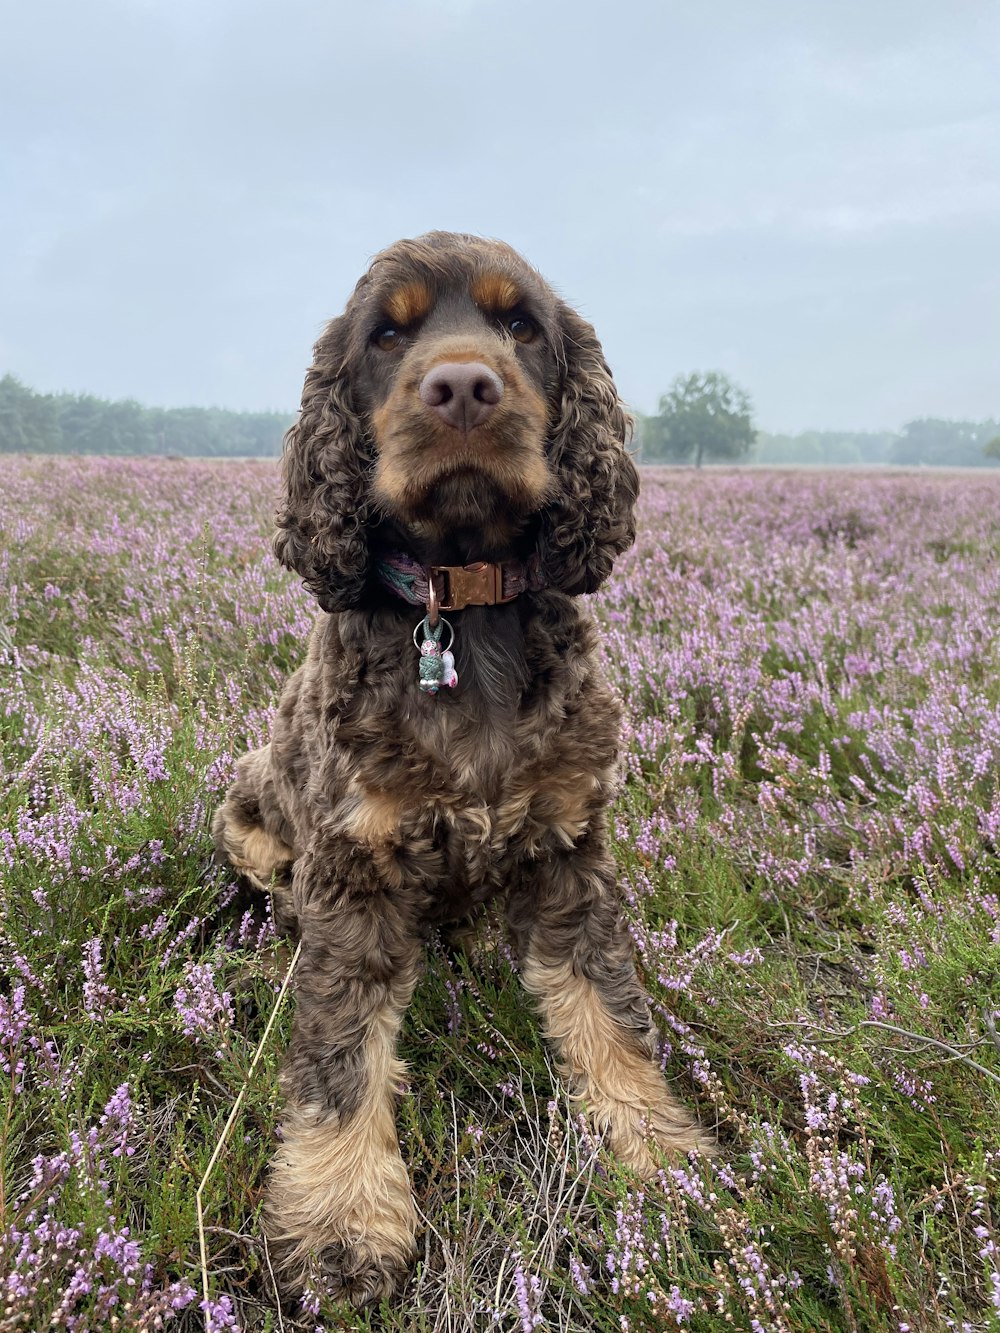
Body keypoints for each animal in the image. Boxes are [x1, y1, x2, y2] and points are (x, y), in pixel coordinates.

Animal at [213, 229, 714, 1301]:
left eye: (519, 324)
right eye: (386, 335)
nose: (462, 388)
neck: (465, 603)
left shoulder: (568, 850)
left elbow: (609, 1010)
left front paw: (657, 1150)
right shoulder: (353, 870)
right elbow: (340, 1055)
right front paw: (341, 1219)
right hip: (248, 812)